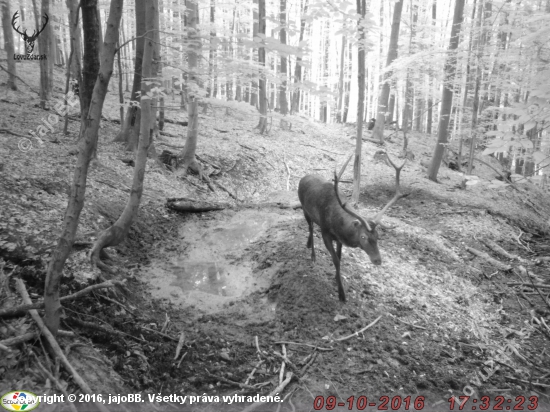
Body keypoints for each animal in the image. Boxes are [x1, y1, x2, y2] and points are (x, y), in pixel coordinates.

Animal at [298, 153, 410, 300]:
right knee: (310, 227)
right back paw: (312, 255)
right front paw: (341, 294)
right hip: (304, 208)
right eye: (363, 236)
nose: (378, 260)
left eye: (378, 236)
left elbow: (339, 258)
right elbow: (336, 260)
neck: (337, 225)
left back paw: (308, 244)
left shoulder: (339, 239)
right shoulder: (325, 232)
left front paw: (337, 278)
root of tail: (302, 178)